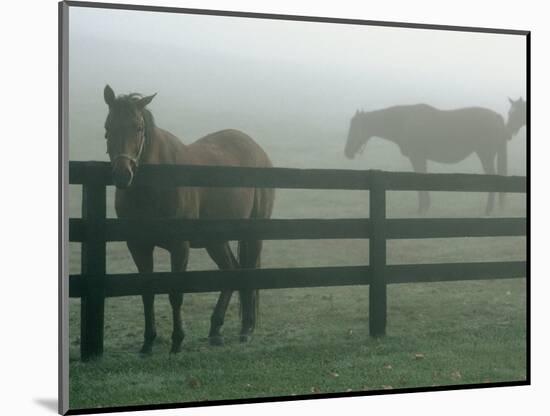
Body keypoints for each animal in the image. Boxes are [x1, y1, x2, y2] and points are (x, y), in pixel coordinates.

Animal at [103, 85, 276, 354]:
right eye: (108, 126)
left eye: (138, 127)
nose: (123, 174)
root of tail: (258, 150)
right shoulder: (138, 245)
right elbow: (147, 293)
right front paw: (148, 343)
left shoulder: (179, 246)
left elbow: (176, 293)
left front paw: (176, 342)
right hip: (216, 240)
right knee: (231, 270)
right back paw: (215, 331)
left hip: (253, 234)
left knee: (246, 272)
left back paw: (246, 329)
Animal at [348, 98, 528, 214]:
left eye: (354, 127)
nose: (347, 152)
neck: (405, 121)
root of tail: (497, 118)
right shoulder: (420, 158)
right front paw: (426, 206)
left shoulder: (417, 157)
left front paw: (422, 208)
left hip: (486, 155)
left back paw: (488, 210)